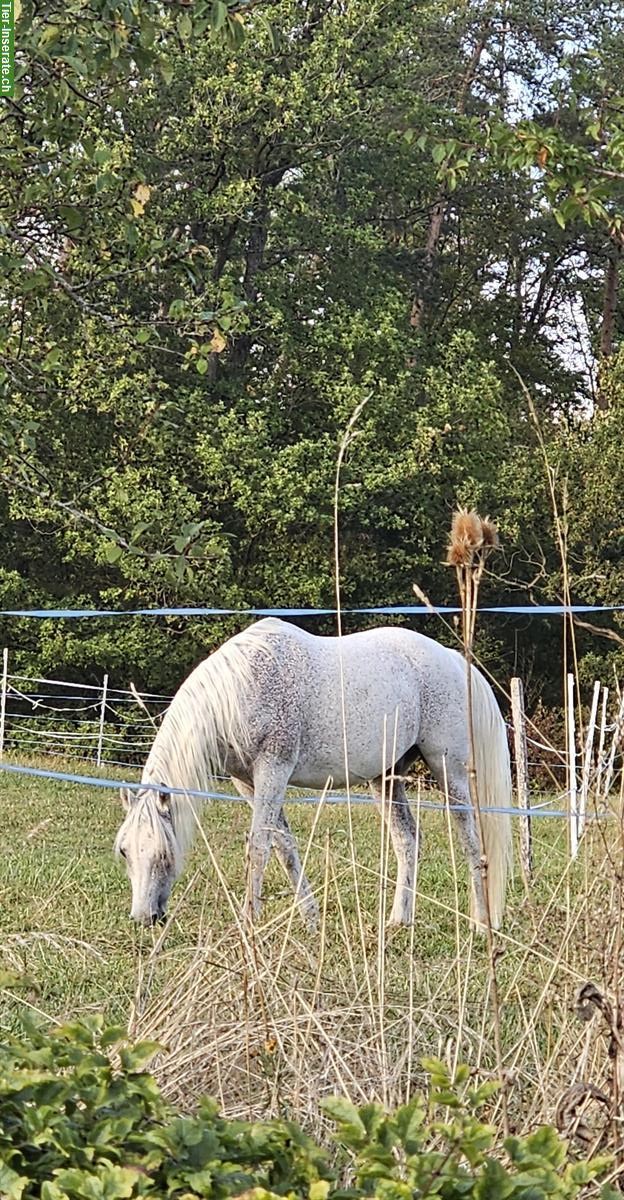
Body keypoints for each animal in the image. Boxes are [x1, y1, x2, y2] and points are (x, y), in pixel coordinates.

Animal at [113, 619, 511, 936]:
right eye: (124, 851)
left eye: (164, 853)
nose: (144, 917)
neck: (243, 687)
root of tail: (453, 659)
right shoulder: (249, 783)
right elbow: (284, 847)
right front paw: (311, 920)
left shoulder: (273, 770)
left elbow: (259, 847)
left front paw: (248, 922)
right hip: (386, 778)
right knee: (407, 840)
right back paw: (400, 920)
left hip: (449, 771)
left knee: (471, 844)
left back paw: (481, 924)